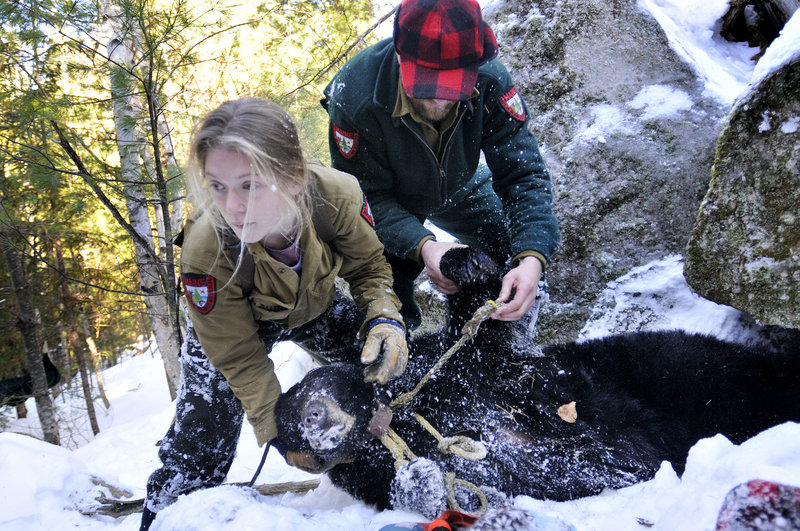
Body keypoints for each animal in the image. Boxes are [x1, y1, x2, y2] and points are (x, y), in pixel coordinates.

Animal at [274, 247, 800, 518]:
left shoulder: (458, 365)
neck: (404, 411)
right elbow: (462, 486)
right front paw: (422, 480)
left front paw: (466, 265)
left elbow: (486, 329)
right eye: (290, 430)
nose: (313, 422)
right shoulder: (370, 470)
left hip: (664, 368)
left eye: (306, 394)